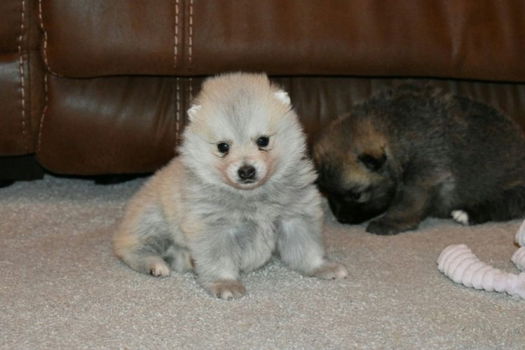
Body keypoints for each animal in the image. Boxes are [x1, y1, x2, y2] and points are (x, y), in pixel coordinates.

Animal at [112, 72, 346, 300]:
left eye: (263, 141)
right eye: (223, 147)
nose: (246, 170)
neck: (252, 195)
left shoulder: (295, 217)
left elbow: (308, 249)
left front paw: (322, 267)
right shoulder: (214, 228)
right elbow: (219, 261)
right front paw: (225, 284)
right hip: (153, 222)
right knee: (130, 248)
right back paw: (155, 265)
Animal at [314, 84, 520, 235]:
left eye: (357, 195)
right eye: (326, 192)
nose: (342, 219)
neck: (393, 132)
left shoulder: (424, 177)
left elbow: (408, 204)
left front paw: (390, 222)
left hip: (512, 189)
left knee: (501, 206)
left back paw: (466, 214)